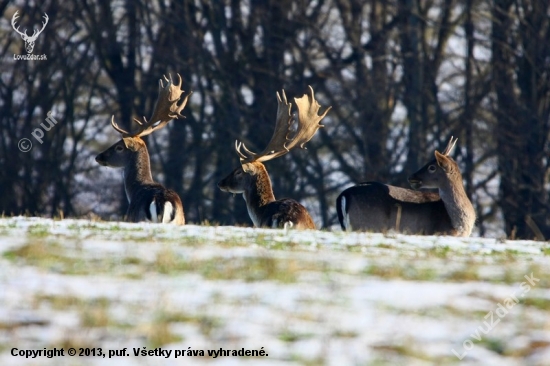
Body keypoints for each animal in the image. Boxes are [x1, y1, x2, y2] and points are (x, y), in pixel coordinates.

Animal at [97, 73, 194, 224]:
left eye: (119, 147)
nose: (98, 156)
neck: (135, 190)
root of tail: (162, 201)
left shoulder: (130, 218)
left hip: (141, 219)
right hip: (179, 221)